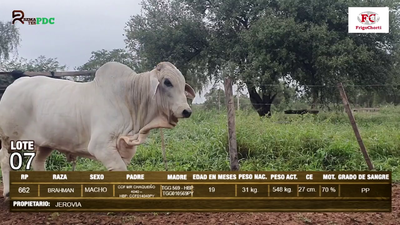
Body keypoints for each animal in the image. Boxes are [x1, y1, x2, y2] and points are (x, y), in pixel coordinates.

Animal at [0, 61, 195, 199]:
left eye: (182, 83)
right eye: (167, 82)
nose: (186, 111)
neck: (130, 98)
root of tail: (13, 85)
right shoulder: (100, 146)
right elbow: (120, 169)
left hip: (46, 143)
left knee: (38, 162)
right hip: (10, 139)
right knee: (5, 161)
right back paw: (8, 192)